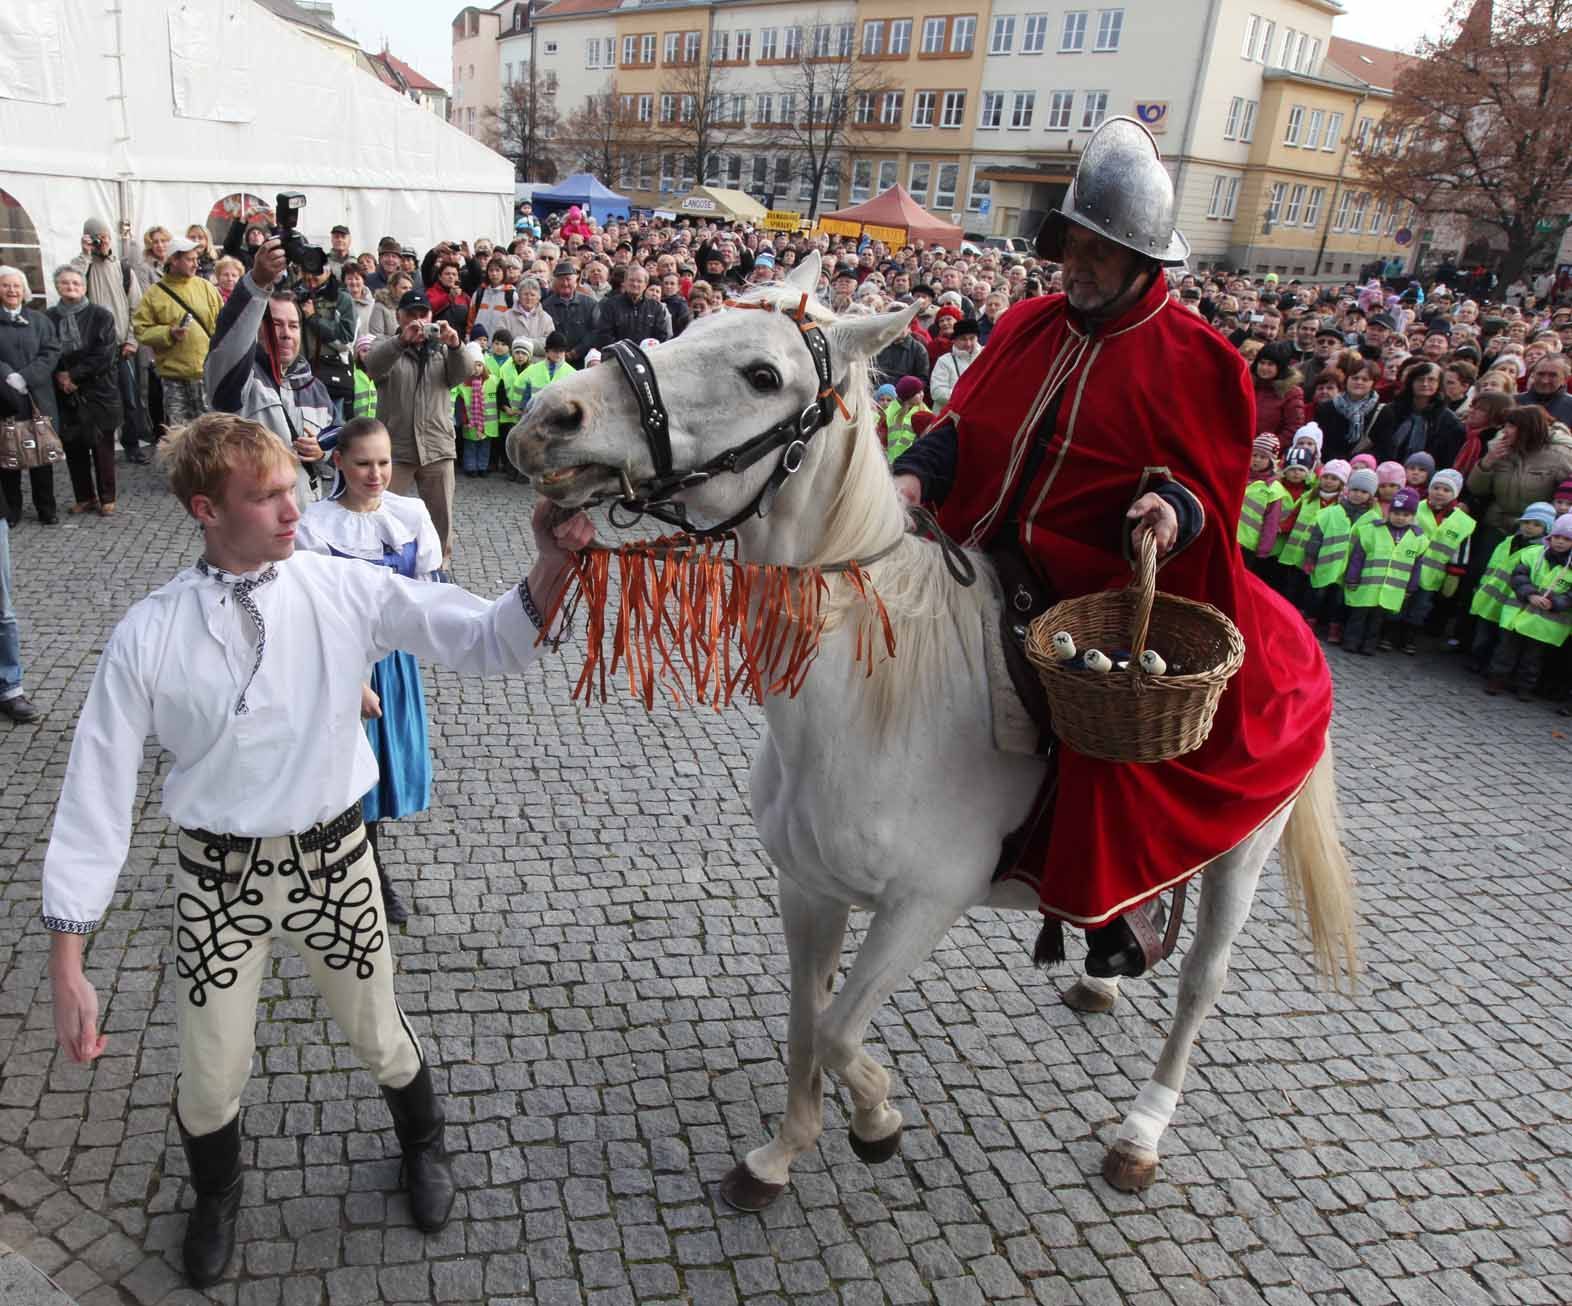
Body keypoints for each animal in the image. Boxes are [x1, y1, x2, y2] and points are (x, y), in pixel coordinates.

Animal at [512, 249, 1351, 1213]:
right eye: (691, 324)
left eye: (763, 375)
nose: (550, 418)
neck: (870, 702)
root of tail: (1274, 608)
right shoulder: (807, 887)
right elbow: (805, 1025)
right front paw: (782, 1153)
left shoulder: (924, 904)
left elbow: (841, 1032)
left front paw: (876, 1119)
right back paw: (1105, 965)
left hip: (1244, 853)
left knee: (1201, 985)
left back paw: (1142, 1131)